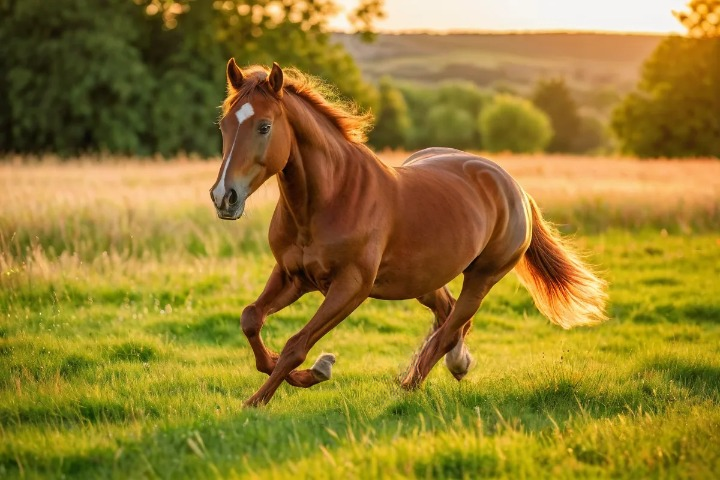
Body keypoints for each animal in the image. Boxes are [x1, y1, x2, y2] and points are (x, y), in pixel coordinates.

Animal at [210, 59, 608, 407]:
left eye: (264, 126)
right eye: (225, 125)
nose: (224, 197)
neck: (330, 198)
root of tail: (514, 187)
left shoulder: (351, 287)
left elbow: (296, 345)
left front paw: (262, 398)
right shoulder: (293, 276)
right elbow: (251, 319)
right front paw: (309, 371)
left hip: (482, 277)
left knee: (451, 328)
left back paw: (410, 386)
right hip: (424, 280)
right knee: (446, 314)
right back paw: (452, 366)